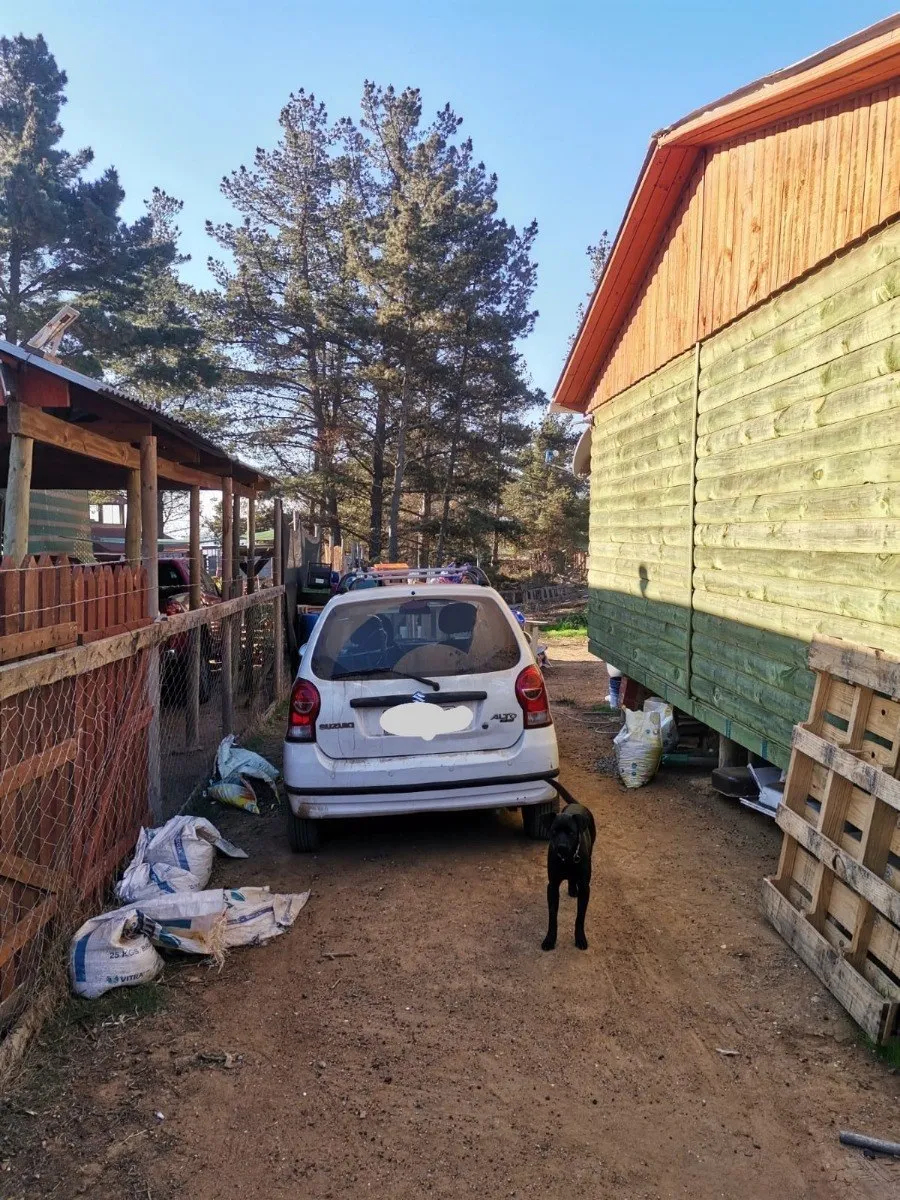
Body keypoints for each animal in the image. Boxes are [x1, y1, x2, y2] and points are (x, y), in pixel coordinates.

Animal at [542, 792, 600, 950]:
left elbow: (580, 917)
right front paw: (550, 939)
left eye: (571, 833)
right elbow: (552, 916)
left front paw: (580, 938)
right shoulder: (552, 886)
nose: (561, 847)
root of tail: (577, 804)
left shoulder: (585, 888)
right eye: (554, 831)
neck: (567, 860)